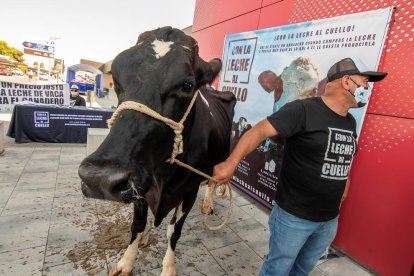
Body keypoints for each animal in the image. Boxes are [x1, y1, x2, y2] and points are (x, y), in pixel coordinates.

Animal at [78, 26, 236, 276]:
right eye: (118, 81)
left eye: (187, 85)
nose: (99, 178)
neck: (162, 173)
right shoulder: (140, 185)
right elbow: (137, 224)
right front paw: (126, 261)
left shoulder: (189, 190)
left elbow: (174, 231)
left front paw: (169, 267)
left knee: (214, 180)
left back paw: (208, 204)